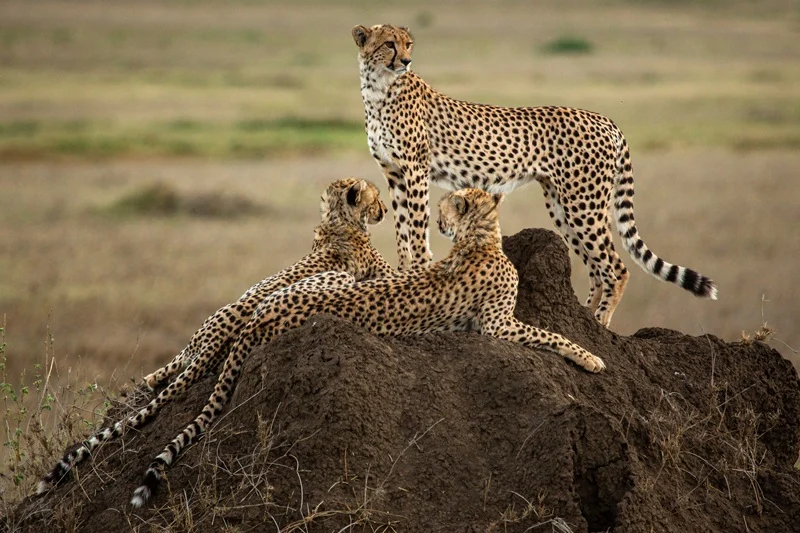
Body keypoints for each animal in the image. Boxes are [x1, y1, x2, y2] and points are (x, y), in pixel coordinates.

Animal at [37, 178, 394, 496]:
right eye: (375, 197)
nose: (386, 209)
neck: (337, 222)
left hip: (199, 340)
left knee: (162, 374)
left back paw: (148, 382)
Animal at [129, 188, 605, 508]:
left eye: (445, 209)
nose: (438, 223)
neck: (479, 238)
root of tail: (258, 319)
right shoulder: (496, 325)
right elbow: (552, 335)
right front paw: (591, 358)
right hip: (336, 278)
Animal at [352, 23, 718, 327]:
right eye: (389, 44)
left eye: (408, 43)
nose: (406, 61)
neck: (378, 88)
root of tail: (604, 119)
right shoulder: (395, 174)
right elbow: (401, 230)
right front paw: (402, 272)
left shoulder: (415, 170)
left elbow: (415, 230)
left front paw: (416, 272)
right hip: (563, 205)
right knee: (595, 268)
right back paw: (583, 316)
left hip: (583, 205)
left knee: (616, 268)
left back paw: (600, 322)